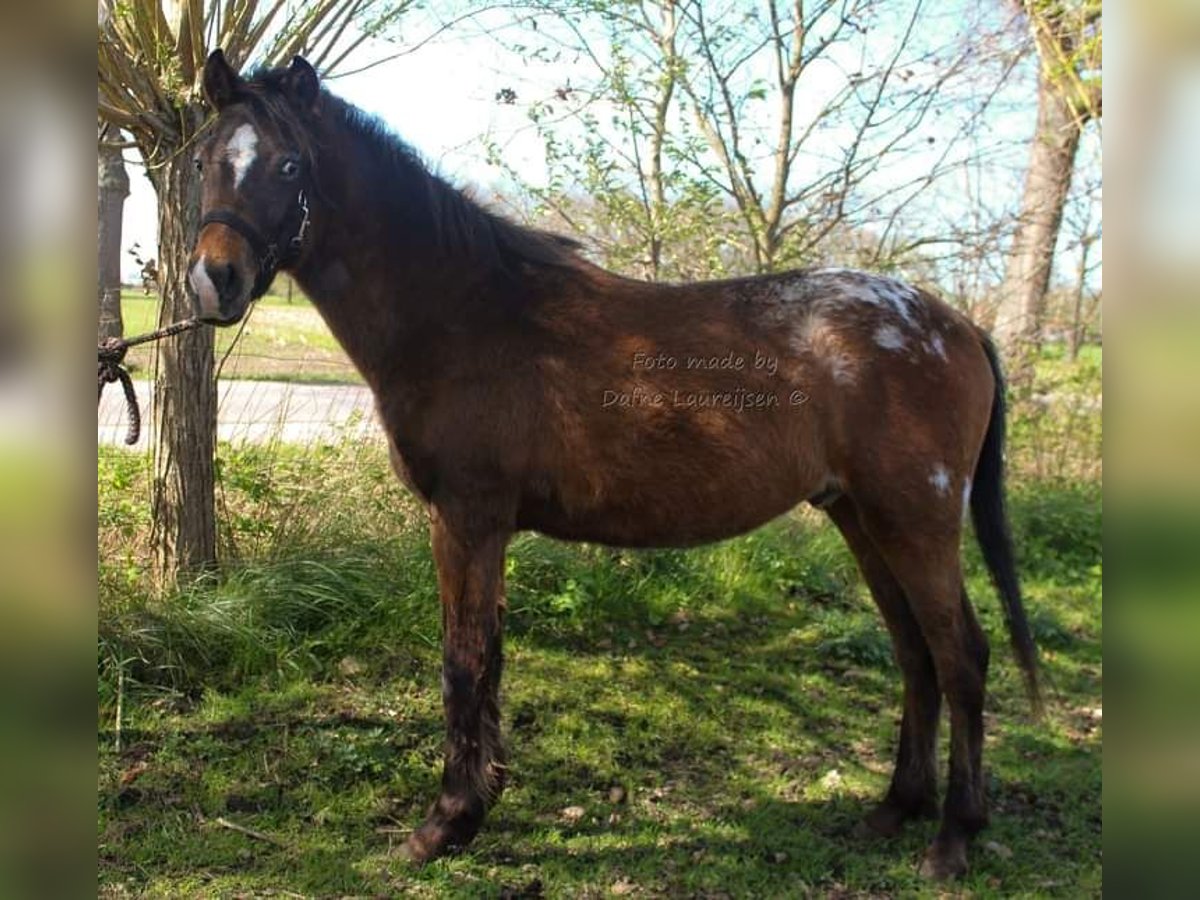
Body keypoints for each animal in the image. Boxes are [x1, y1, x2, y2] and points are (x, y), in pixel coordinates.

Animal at [187, 49, 1041, 883]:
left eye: (290, 165)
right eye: (203, 159)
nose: (212, 280)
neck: (468, 314)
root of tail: (957, 324)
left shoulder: (467, 518)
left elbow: (464, 662)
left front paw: (444, 825)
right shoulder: (480, 527)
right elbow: (488, 661)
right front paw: (477, 805)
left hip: (917, 520)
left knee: (960, 656)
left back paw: (953, 839)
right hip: (862, 518)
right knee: (915, 655)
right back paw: (895, 809)